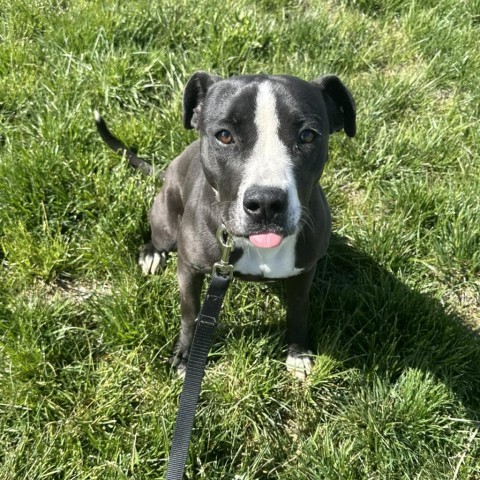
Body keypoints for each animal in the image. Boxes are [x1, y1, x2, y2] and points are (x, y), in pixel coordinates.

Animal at [94, 70, 356, 378]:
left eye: (307, 136)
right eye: (224, 135)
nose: (266, 202)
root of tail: (166, 171)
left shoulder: (304, 271)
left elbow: (299, 309)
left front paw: (297, 352)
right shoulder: (189, 268)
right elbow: (190, 312)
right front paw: (185, 355)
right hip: (166, 219)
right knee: (158, 238)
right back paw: (151, 255)